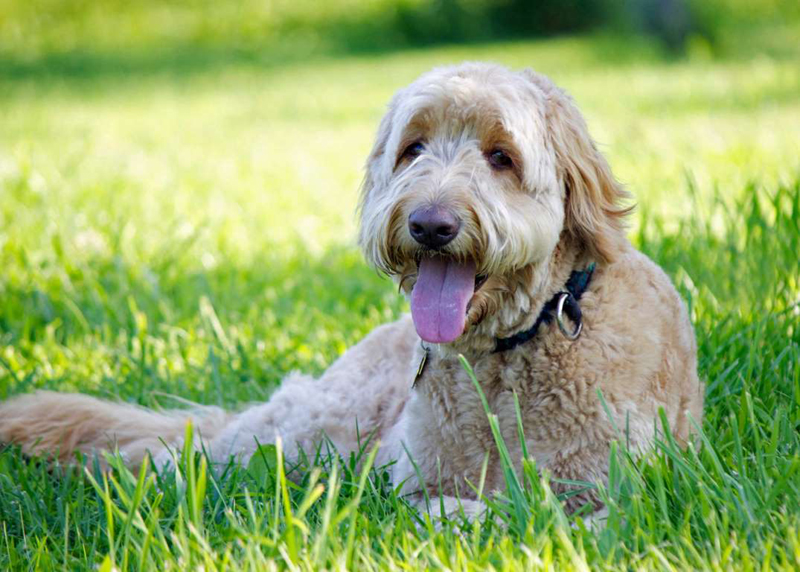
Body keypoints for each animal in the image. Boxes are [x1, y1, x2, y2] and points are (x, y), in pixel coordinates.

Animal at [0, 63, 703, 518]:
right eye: (413, 148)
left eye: (501, 156)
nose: (429, 224)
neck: (509, 354)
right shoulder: (413, 476)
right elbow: (451, 507)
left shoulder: (616, 496)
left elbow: (528, 513)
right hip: (311, 428)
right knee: (188, 453)